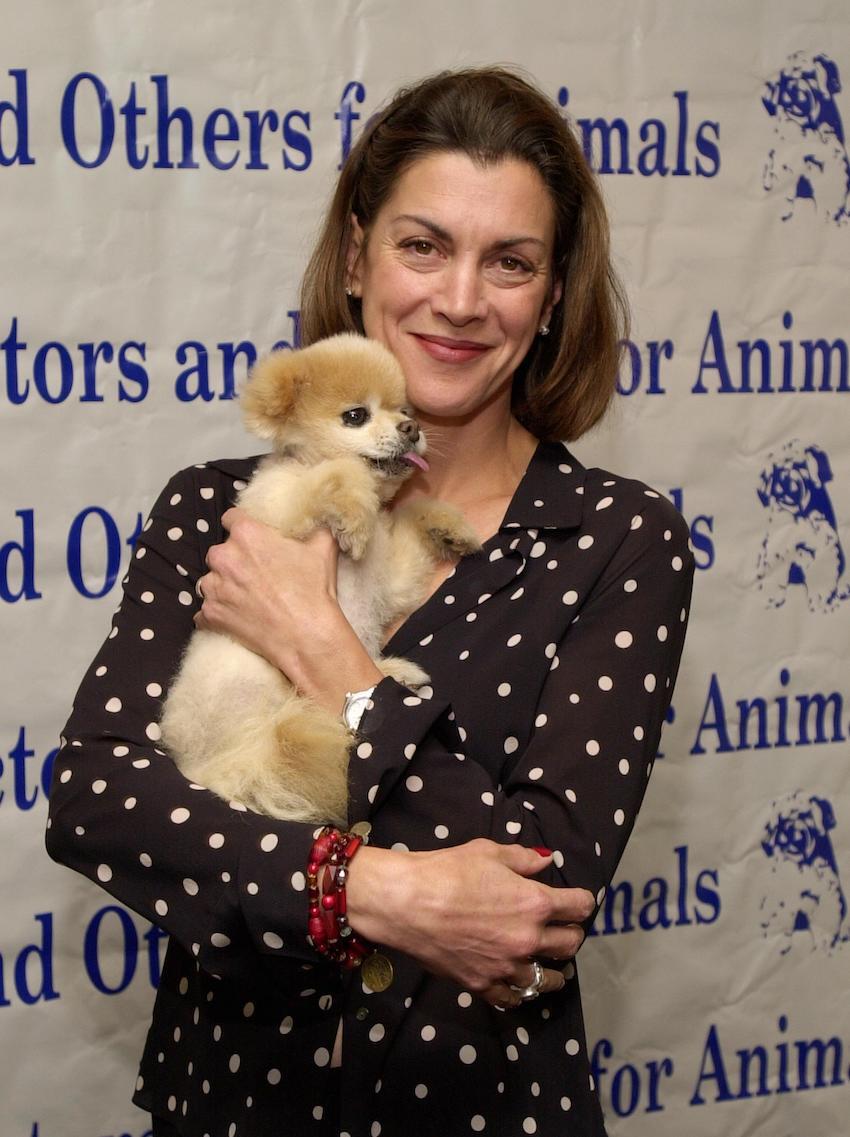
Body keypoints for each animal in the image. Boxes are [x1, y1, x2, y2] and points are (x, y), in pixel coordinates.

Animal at [159, 334, 477, 827]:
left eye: (404, 410)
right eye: (356, 416)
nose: (411, 429)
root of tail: (210, 767)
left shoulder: (389, 579)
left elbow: (412, 515)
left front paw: (450, 527)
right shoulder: (280, 514)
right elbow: (336, 474)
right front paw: (356, 517)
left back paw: (395, 672)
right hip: (253, 688)